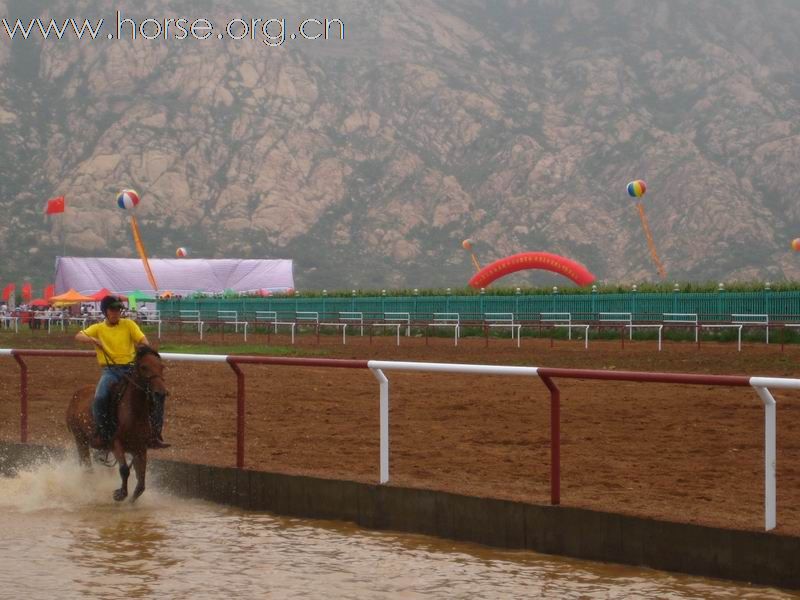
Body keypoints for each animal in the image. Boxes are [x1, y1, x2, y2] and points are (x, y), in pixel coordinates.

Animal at [67, 346, 169, 502]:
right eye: (144, 367)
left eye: (161, 366)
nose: (161, 393)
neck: (133, 412)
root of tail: (76, 395)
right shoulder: (116, 444)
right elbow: (125, 470)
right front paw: (120, 494)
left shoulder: (140, 448)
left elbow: (141, 481)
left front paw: (132, 500)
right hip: (80, 440)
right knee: (87, 467)